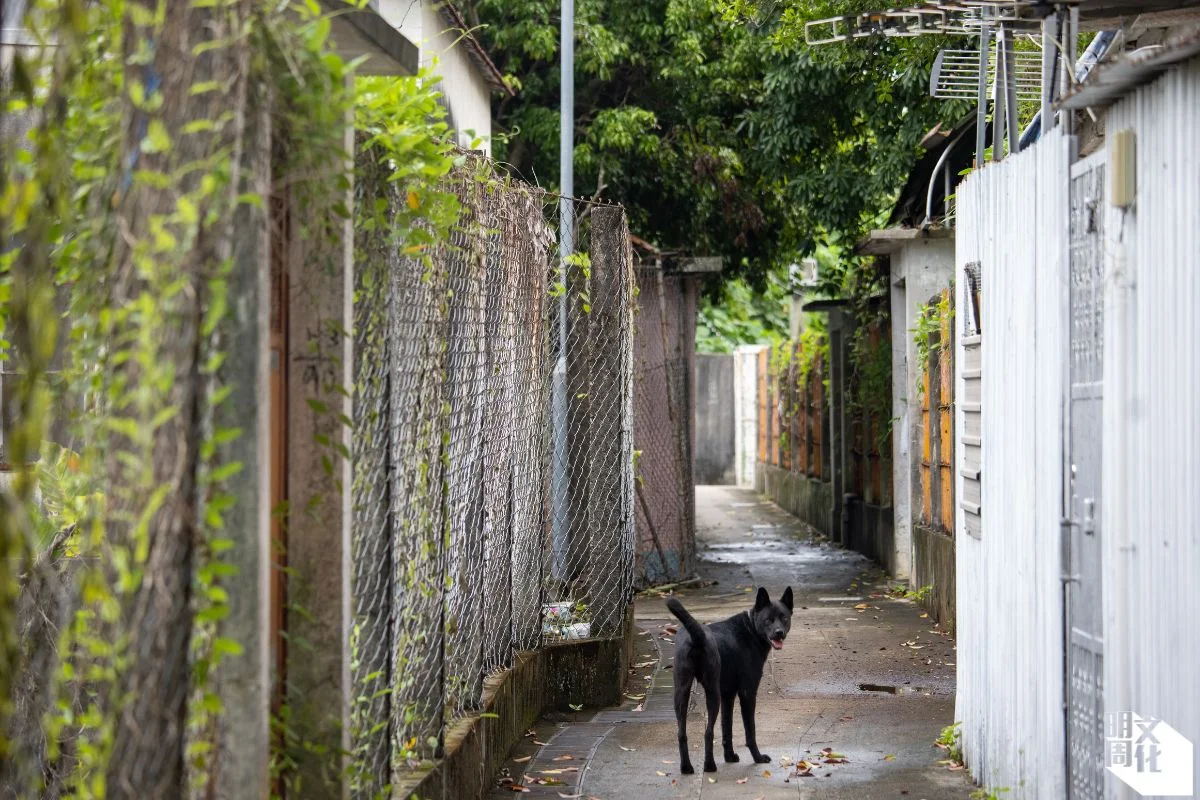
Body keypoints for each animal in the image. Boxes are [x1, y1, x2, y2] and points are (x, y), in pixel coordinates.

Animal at [672, 587, 792, 777]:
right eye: (768, 620)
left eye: (784, 618)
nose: (779, 632)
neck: (751, 628)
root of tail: (696, 635)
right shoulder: (747, 693)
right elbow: (750, 731)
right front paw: (758, 758)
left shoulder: (728, 695)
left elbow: (726, 727)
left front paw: (729, 756)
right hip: (712, 694)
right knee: (708, 732)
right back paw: (709, 766)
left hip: (682, 691)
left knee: (681, 733)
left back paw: (686, 768)